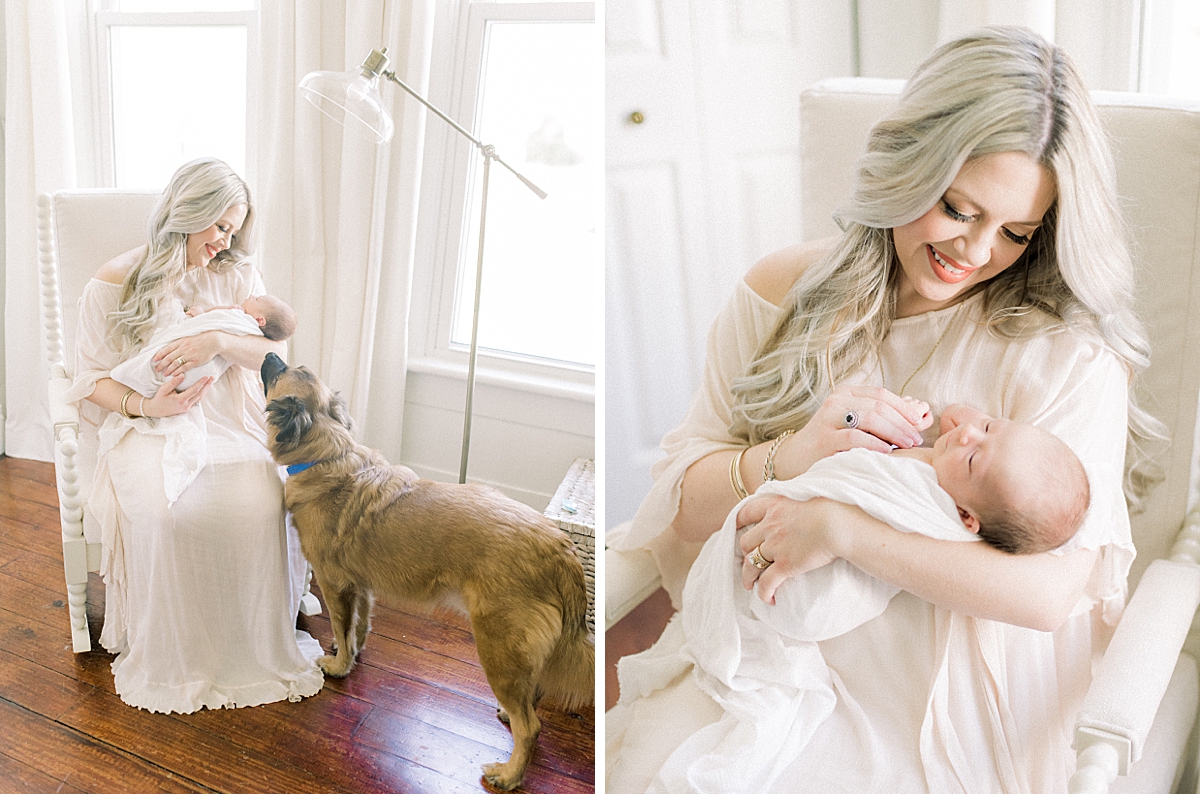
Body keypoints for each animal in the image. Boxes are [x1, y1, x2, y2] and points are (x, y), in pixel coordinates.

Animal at [264, 355, 600, 794]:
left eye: (286, 370)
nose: (269, 354)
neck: (327, 452)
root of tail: (561, 548)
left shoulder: (334, 583)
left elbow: (340, 624)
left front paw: (338, 666)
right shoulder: (362, 586)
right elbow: (359, 625)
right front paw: (352, 650)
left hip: (497, 648)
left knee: (532, 727)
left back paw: (509, 774)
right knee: (533, 694)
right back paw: (510, 716)